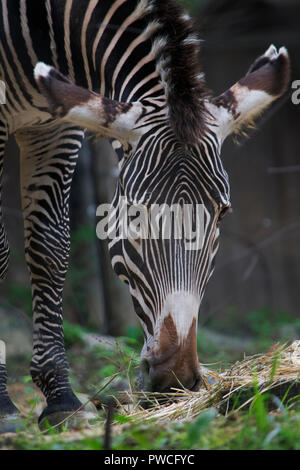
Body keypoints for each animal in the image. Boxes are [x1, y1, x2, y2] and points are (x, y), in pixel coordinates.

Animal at [0, 0, 290, 432]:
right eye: (136, 214)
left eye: (222, 214)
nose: (176, 378)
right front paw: (4, 404)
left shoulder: (55, 126)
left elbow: (50, 247)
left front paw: (61, 399)